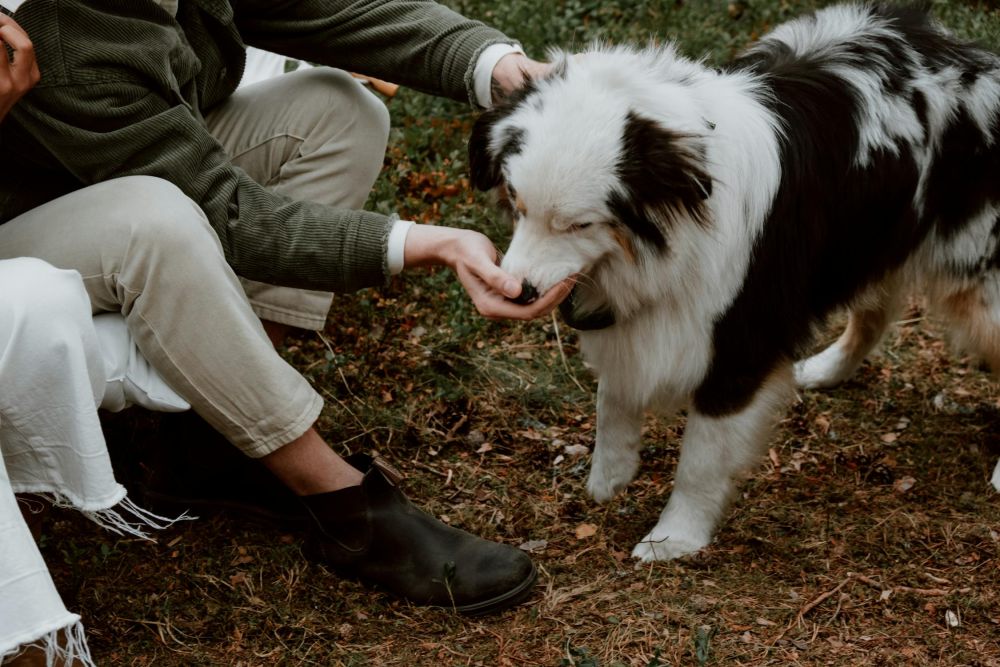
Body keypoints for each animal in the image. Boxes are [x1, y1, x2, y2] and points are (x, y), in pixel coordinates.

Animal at [466, 2, 1000, 560]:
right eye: (516, 202)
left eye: (579, 224)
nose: (517, 292)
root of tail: (974, 56)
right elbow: (613, 397)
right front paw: (609, 477)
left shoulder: (742, 339)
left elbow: (700, 459)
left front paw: (674, 538)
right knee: (874, 314)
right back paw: (826, 369)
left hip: (978, 277)